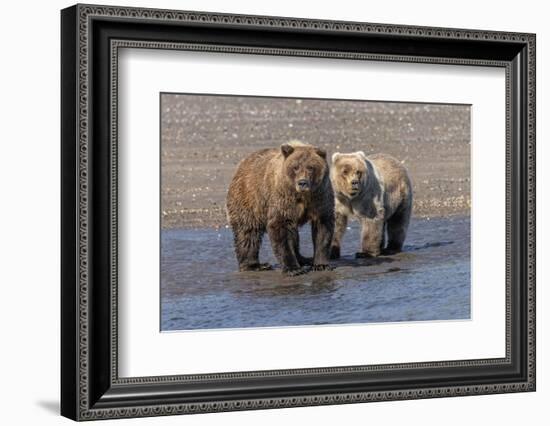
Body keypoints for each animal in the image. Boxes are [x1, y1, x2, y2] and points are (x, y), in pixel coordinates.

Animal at [225, 141, 336, 274]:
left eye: (310, 167)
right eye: (295, 167)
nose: (302, 182)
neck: (303, 196)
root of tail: (242, 164)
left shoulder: (320, 197)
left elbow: (322, 227)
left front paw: (321, 265)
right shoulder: (284, 197)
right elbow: (280, 227)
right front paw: (293, 268)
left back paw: (303, 259)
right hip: (250, 198)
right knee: (248, 231)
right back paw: (255, 265)